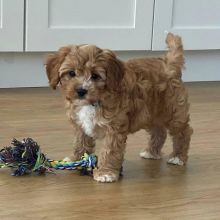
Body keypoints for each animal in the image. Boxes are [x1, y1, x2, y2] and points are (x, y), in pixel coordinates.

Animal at [45, 32, 192, 183]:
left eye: (95, 76)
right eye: (71, 73)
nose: (81, 90)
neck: (93, 101)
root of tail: (169, 64)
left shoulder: (114, 127)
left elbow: (110, 150)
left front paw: (106, 172)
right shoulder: (80, 125)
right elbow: (80, 143)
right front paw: (77, 160)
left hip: (173, 111)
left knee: (183, 132)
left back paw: (178, 157)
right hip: (150, 113)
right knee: (159, 131)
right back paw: (151, 152)